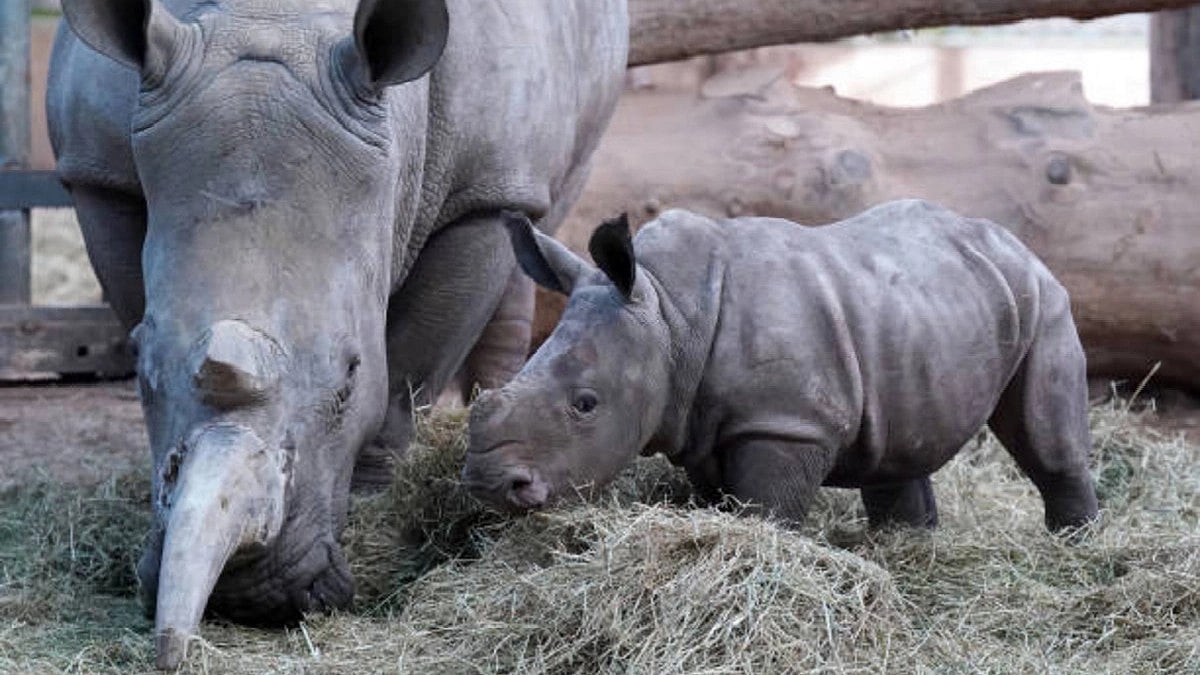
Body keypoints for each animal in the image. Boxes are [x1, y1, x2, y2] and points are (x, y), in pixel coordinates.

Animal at [48, 0, 626, 667]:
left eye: (349, 376)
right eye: (140, 373)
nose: (245, 596)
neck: (273, 19)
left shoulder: (480, 191)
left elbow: (409, 365)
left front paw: (376, 500)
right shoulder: (97, 173)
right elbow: (134, 296)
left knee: (535, 225)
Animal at [464, 202, 1100, 534]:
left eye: (585, 404)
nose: (491, 484)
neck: (669, 311)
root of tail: (1010, 238)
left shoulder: (786, 422)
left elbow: (765, 509)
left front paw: (762, 549)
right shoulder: (701, 425)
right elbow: (721, 500)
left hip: (1042, 298)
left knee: (1045, 436)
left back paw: (1075, 544)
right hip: (923, 305)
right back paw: (905, 544)